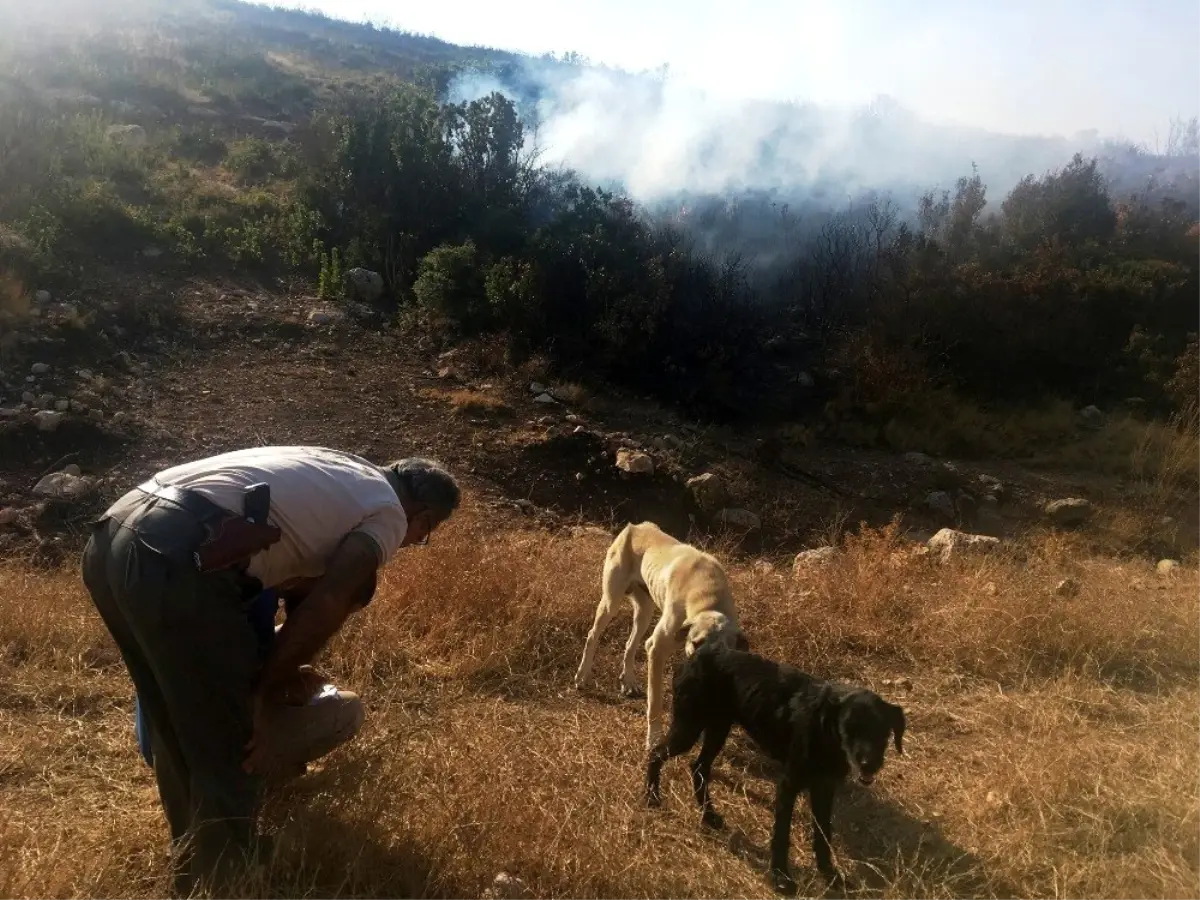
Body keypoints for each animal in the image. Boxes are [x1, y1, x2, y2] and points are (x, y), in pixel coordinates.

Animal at [573, 520, 748, 748]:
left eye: (723, 651)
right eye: (696, 643)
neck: (709, 598)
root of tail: (635, 526)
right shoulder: (656, 648)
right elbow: (655, 702)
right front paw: (654, 739)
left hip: (644, 612)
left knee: (630, 645)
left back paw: (628, 682)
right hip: (611, 602)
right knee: (593, 635)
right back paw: (582, 676)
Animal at [643, 643, 902, 892]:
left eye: (882, 731)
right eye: (848, 728)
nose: (869, 763)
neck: (825, 728)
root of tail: (693, 657)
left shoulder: (825, 788)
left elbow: (823, 835)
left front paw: (830, 875)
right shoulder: (788, 785)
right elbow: (781, 834)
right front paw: (781, 877)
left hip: (718, 728)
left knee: (698, 766)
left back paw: (709, 815)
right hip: (689, 727)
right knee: (656, 753)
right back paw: (652, 796)